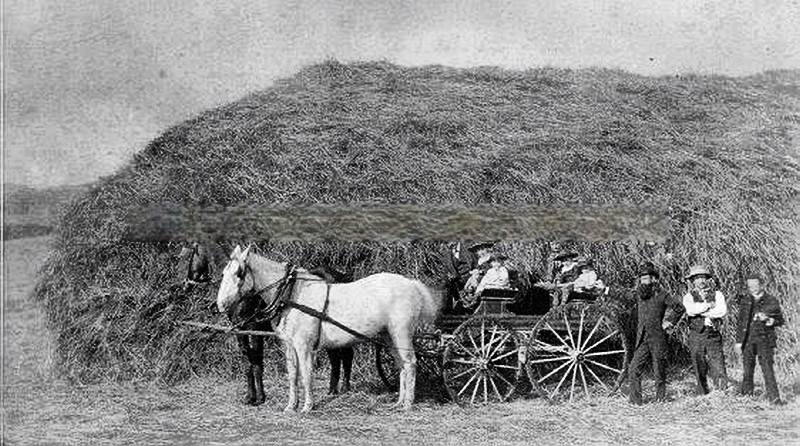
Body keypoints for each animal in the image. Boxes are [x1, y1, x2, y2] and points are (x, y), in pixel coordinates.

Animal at [216, 246, 440, 412]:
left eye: (239, 273)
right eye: (224, 272)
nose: (221, 304)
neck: (291, 294)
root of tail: (412, 284)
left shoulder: (304, 345)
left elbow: (306, 374)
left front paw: (307, 406)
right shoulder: (289, 345)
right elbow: (293, 374)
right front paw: (290, 406)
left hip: (401, 334)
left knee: (410, 363)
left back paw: (408, 404)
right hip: (388, 336)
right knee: (401, 365)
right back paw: (399, 402)